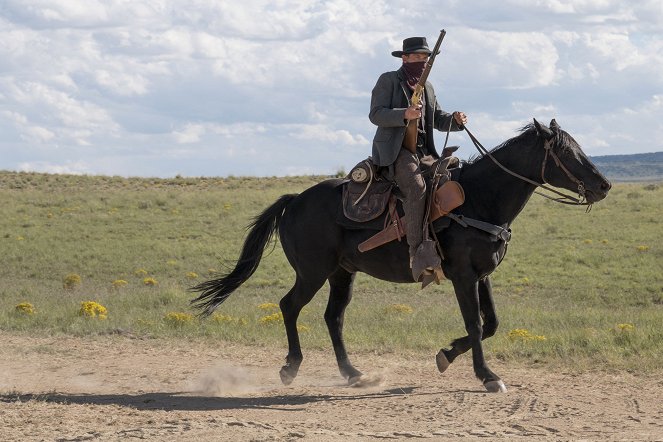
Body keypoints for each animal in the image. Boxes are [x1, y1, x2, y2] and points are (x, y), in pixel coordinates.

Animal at [191, 119, 612, 392]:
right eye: (566, 152)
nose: (604, 185)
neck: (479, 200)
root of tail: (294, 201)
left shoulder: (483, 275)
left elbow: (491, 323)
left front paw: (446, 354)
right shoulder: (463, 276)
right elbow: (476, 325)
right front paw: (487, 376)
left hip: (342, 273)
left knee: (333, 317)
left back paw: (353, 373)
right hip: (312, 272)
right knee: (289, 306)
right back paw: (291, 368)